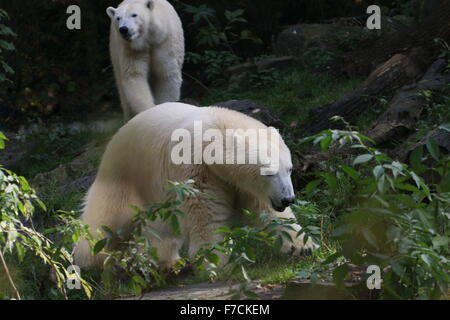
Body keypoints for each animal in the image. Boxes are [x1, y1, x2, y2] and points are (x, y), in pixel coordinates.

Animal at [74, 103, 314, 268]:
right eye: (269, 172)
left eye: (289, 169)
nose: (288, 198)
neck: (213, 127)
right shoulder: (194, 168)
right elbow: (206, 213)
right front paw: (214, 259)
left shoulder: (243, 184)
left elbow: (267, 211)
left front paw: (302, 246)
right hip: (124, 172)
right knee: (109, 218)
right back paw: (89, 257)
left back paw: (166, 261)